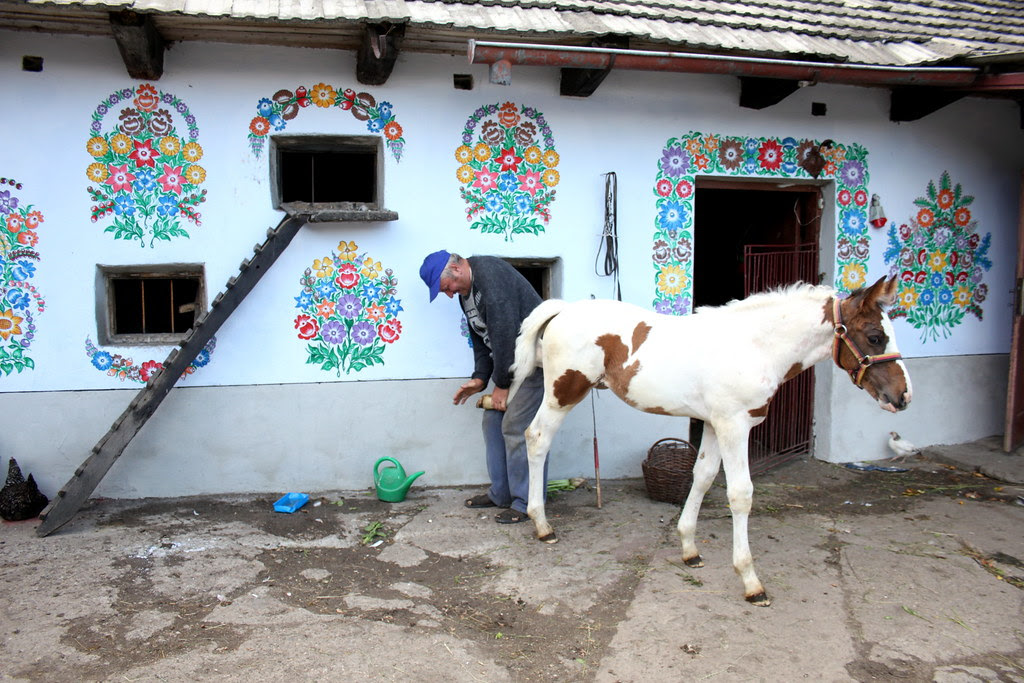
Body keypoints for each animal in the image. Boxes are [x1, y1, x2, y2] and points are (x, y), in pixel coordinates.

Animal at [507, 276, 911, 606]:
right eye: (875, 337)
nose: (903, 396)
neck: (756, 345)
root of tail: (564, 308)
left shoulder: (716, 425)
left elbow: (702, 477)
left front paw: (690, 549)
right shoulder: (735, 426)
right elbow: (740, 494)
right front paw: (751, 581)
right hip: (563, 394)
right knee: (536, 438)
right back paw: (542, 525)